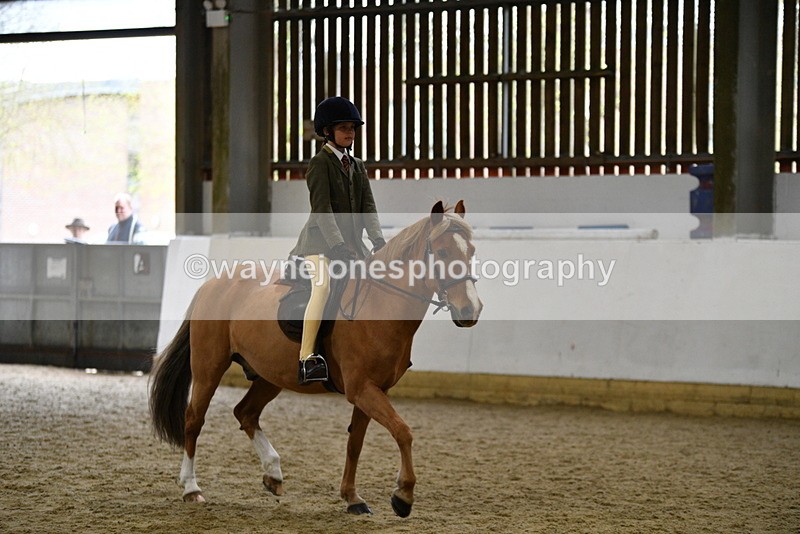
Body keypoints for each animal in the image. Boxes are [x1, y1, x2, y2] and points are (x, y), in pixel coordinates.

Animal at [149, 200, 483, 517]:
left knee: (246, 413)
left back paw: (274, 473)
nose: (470, 310)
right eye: (441, 252)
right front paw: (403, 496)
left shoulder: (373, 390)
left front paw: (352, 498)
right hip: (209, 367)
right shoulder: (362, 389)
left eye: (472, 251)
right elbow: (403, 432)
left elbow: (355, 442)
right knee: (194, 419)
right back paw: (191, 488)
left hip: (270, 375)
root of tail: (212, 284)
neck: (379, 305)